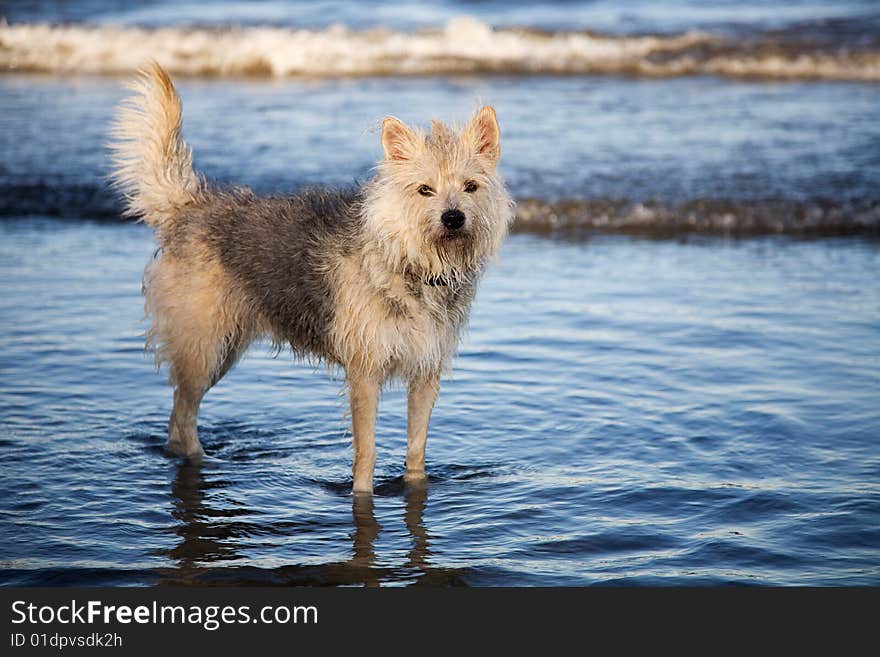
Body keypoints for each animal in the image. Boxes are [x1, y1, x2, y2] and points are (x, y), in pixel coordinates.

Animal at [108, 64, 516, 492]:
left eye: (470, 186)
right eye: (425, 190)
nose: (453, 218)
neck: (412, 264)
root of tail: (189, 207)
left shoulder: (425, 373)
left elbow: (416, 451)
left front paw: (415, 484)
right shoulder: (364, 373)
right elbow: (366, 453)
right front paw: (362, 495)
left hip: (220, 350)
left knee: (177, 414)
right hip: (202, 347)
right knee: (184, 414)